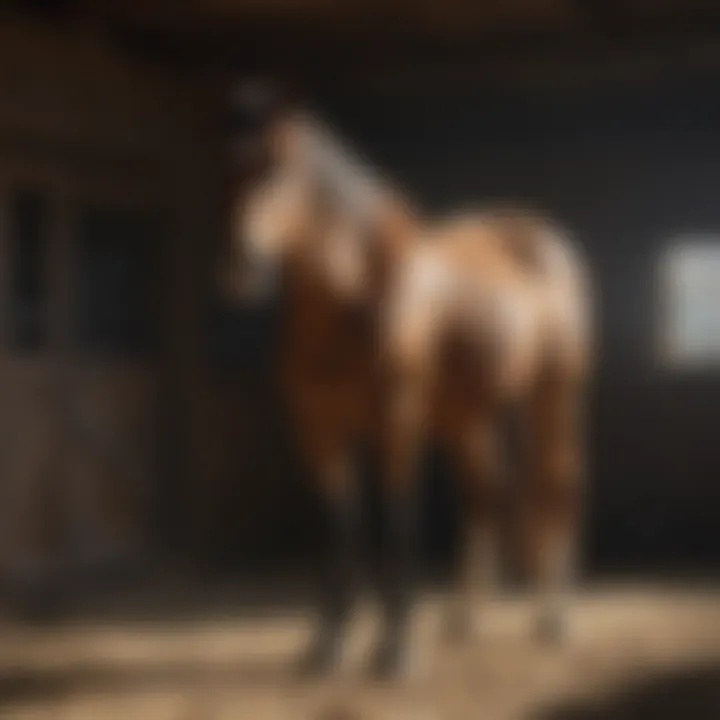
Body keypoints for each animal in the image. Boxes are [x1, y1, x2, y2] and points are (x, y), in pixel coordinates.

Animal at [225, 107, 592, 676]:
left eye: (279, 173)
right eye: (230, 175)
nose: (243, 267)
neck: (355, 296)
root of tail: (545, 241)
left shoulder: (397, 420)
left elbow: (399, 524)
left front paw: (396, 650)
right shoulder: (317, 428)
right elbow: (341, 527)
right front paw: (327, 645)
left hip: (552, 398)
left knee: (556, 486)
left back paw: (555, 620)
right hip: (468, 415)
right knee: (486, 495)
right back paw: (463, 620)